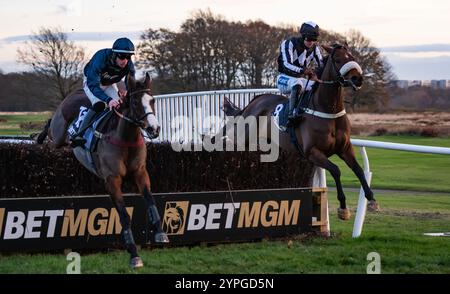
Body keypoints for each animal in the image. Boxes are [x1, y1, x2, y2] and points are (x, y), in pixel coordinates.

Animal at [37, 73, 169, 268]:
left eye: (152, 101)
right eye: (135, 102)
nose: (154, 129)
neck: (125, 139)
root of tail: (74, 92)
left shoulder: (140, 172)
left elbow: (151, 201)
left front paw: (160, 233)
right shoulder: (112, 180)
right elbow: (124, 216)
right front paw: (134, 254)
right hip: (58, 137)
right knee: (52, 129)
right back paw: (39, 136)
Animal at [220, 43, 378, 218]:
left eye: (352, 57)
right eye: (337, 59)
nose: (358, 78)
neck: (328, 110)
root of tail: (254, 101)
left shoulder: (345, 148)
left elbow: (359, 170)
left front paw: (371, 199)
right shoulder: (312, 152)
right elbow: (336, 170)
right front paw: (343, 207)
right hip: (243, 137)